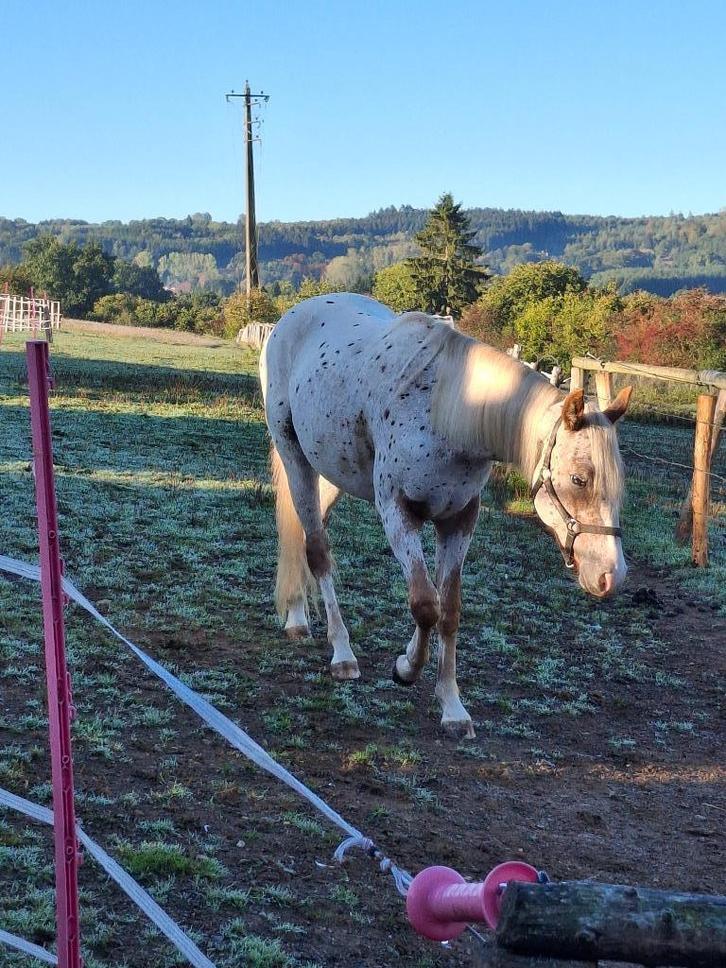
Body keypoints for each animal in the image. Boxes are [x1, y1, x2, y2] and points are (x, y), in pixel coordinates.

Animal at [260, 293, 632, 739]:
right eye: (579, 478)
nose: (611, 576)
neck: (447, 416)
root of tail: (292, 317)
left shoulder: (459, 520)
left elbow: (448, 611)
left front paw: (453, 707)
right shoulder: (398, 512)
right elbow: (425, 604)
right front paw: (406, 667)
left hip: (332, 474)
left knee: (303, 537)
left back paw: (298, 616)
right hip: (295, 457)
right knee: (317, 550)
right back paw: (342, 652)